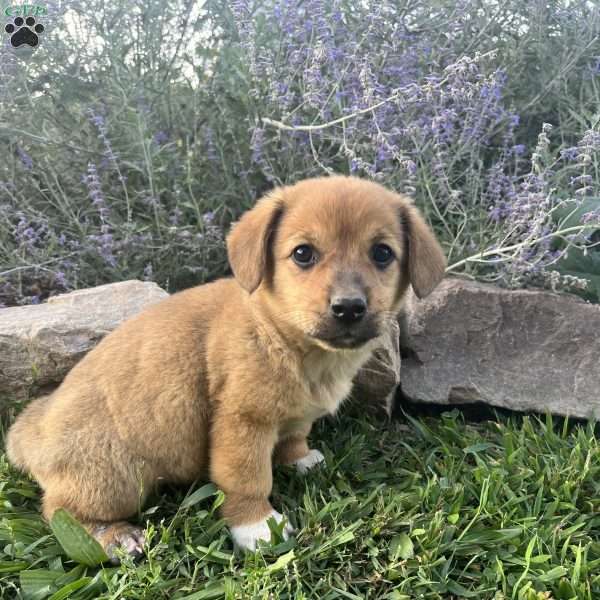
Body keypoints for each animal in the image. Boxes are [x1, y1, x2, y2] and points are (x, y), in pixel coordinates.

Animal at [4, 176, 446, 560]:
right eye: (303, 253)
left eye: (382, 253)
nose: (349, 308)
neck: (281, 336)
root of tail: (32, 432)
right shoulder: (242, 423)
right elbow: (248, 479)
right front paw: (257, 527)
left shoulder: (293, 417)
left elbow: (294, 436)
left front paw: (300, 459)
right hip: (117, 477)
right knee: (61, 511)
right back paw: (113, 537)